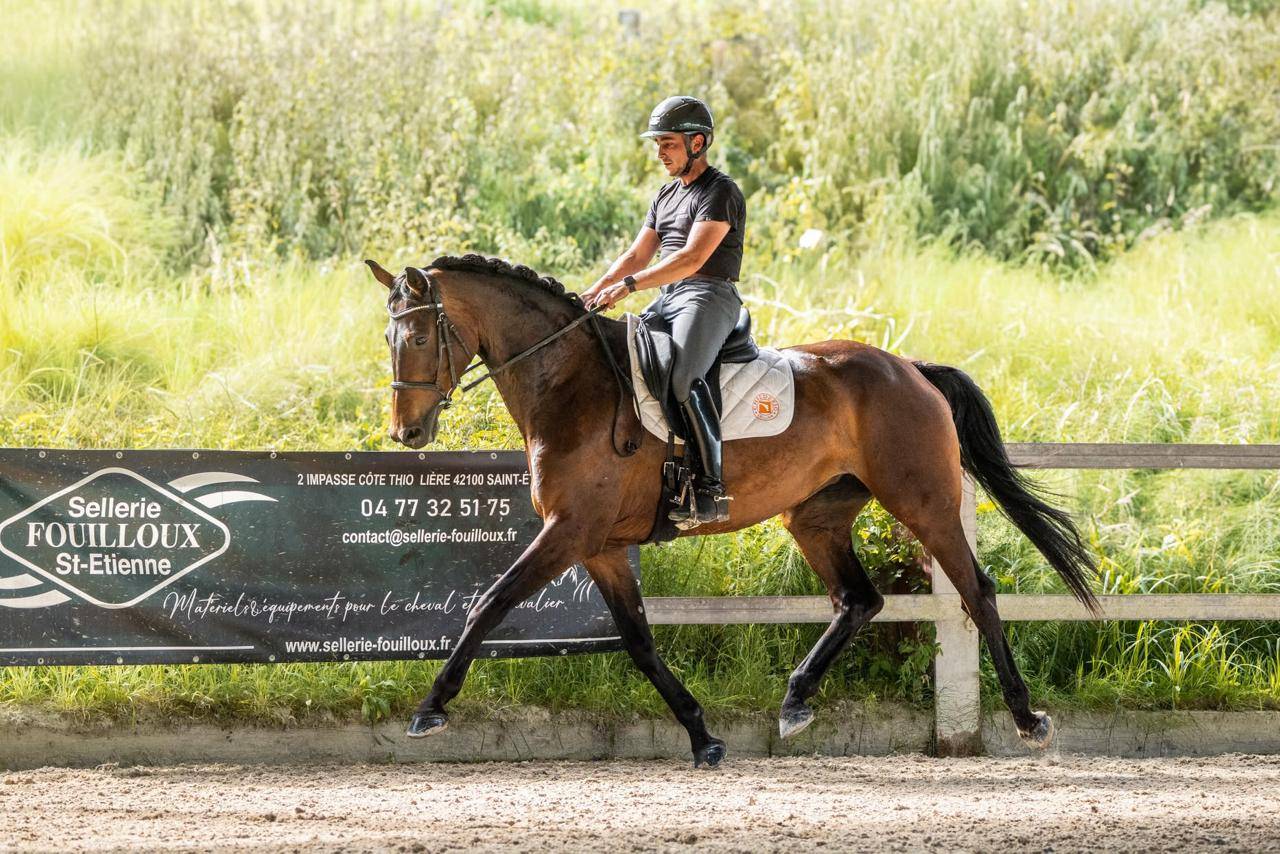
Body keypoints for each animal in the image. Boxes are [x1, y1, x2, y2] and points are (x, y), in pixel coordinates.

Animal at [365, 254, 1098, 767]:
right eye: (389, 339)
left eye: (421, 338)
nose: (407, 432)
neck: (568, 382)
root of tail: (909, 367)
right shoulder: (601, 546)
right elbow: (639, 641)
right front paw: (702, 736)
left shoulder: (569, 532)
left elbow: (488, 605)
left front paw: (430, 709)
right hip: (815, 516)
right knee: (858, 600)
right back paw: (797, 701)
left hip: (925, 502)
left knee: (976, 591)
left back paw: (1027, 719)